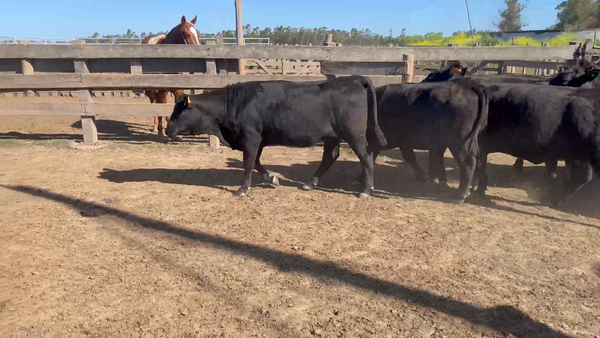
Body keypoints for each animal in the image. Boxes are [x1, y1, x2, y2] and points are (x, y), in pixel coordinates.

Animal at [166, 76, 386, 198]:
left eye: (178, 112)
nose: (167, 130)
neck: (233, 104)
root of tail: (353, 79)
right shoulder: (258, 141)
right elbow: (256, 162)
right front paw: (271, 178)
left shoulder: (251, 139)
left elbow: (248, 163)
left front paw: (242, 189)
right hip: (332, 136)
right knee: (330, 157)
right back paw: (310, 183)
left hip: (354, 135)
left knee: (366, 157)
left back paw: (366, 190)